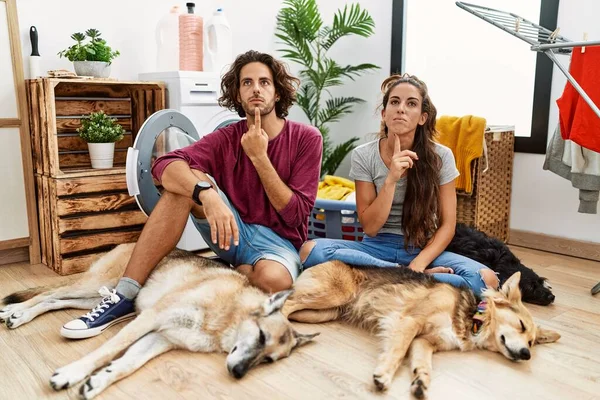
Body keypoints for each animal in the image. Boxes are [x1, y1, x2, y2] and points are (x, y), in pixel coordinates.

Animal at [0, 244, 318, 400]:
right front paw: (72, 373)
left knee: (54, 301)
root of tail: (130, 241)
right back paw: (13, 311)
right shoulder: (150, 319)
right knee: (49, 293)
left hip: (92, 297)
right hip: (97, 284)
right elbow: (106, 352)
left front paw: (98, 381)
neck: (228, 314)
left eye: (268, 361)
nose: (238, 373)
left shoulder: (160, 339)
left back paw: (19, 313)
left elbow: (125, 364)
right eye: (262, 337)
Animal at [282, 260, 564, 398]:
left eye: (532, 343)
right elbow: (397, 352)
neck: (472, 316)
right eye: (520, 325)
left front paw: (420, 382)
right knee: (284, 304)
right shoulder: (409, 321)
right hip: (333, 295)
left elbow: (423, 363)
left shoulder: (425, 341)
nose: (526, 355)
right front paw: (383, 376)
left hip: (325, 313)